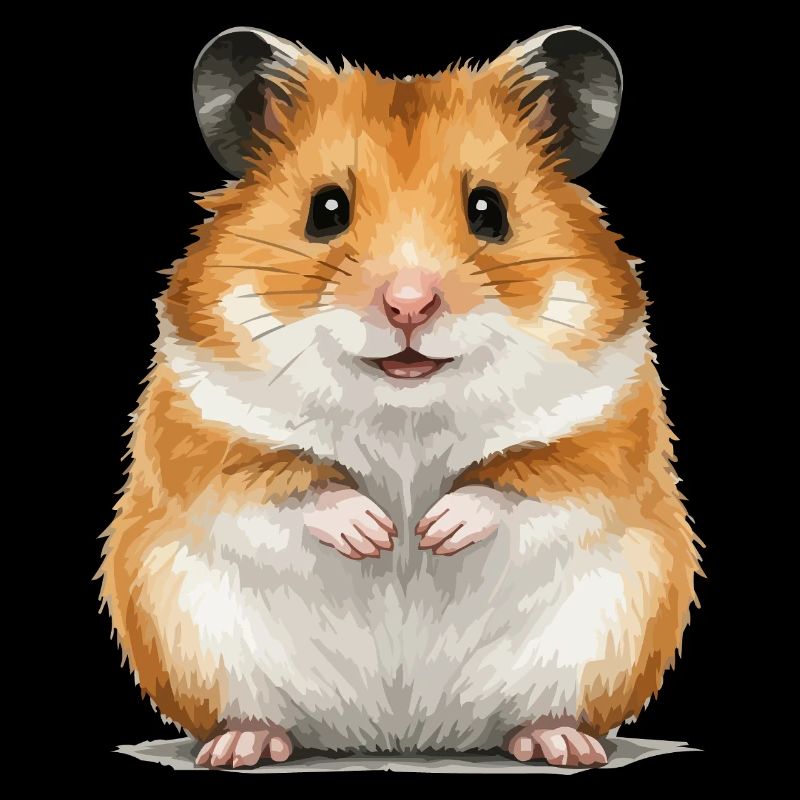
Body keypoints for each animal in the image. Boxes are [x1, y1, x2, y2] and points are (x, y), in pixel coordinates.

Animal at [98, 25, 701, 769]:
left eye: (489, 210)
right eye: (326, 209)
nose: (408, 305)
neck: (405, 409)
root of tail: (402, 735)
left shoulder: (601, 432)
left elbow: (523, 480)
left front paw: (432, 531)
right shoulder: (206, 428)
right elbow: (286, 480)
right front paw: (378, 534)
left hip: (607, 634)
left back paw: (561, 744)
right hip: (191, 637)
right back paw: (240, 747)